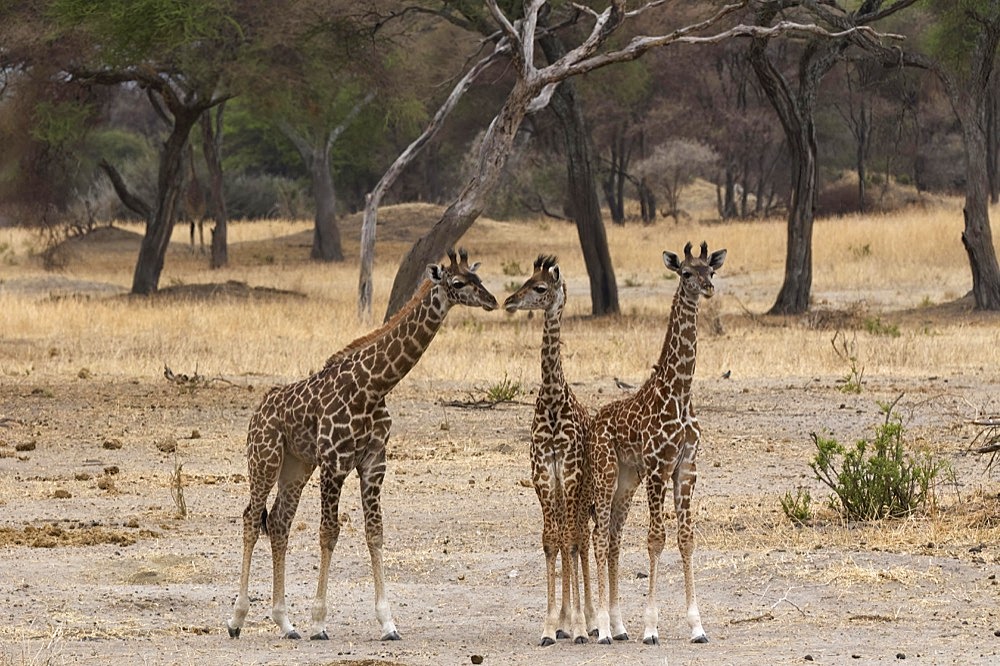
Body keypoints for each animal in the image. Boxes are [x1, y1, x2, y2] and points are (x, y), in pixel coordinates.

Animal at [224, 248, 496, 640]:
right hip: (265, 457)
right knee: (250, 518)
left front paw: (388, 622)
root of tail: (259, 409)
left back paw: (285, 623)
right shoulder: (334, 462)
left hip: (296, 466)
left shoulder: (373, 462)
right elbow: (328, 533)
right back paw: (237, 618)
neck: (374, 386)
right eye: (458, 283)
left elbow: (375, 533)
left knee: (278, 522)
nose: (492, 301)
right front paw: (319, 622)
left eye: (479, 280)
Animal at [584, 240, 728, 644]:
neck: (679, 392)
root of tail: (594, 421)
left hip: (625, 482)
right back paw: (602, 628)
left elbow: (686, 538)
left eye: (711, 270)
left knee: (613, 538)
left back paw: (618, 627)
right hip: (605, 474)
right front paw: (651, 627)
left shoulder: (687, 467)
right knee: (599, 538)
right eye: (686, 272)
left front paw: (697, 626)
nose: (708, 288)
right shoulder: (657, 466)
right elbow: (655, 539)